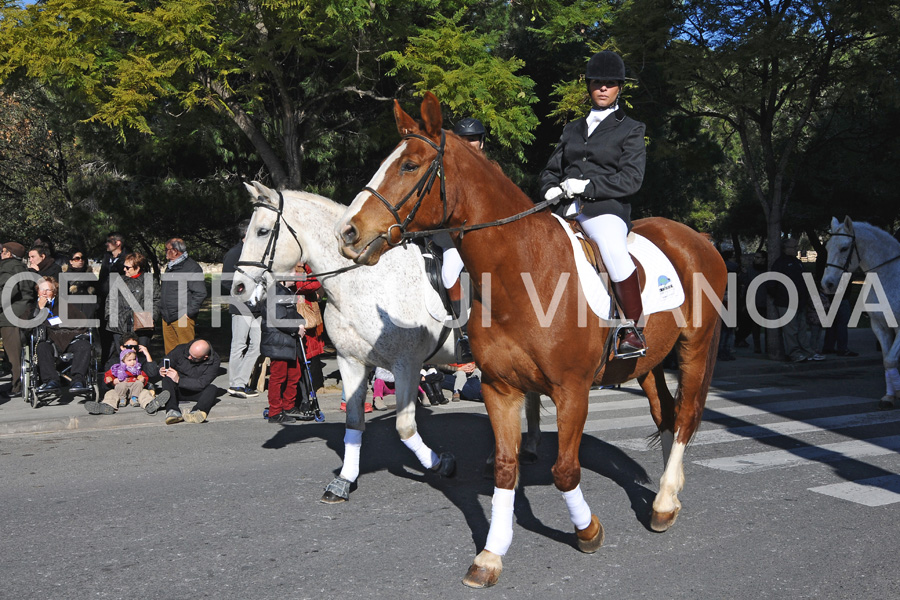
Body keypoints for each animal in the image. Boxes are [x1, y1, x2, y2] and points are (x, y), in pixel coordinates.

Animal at [232, 180, 540, 500]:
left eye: (262, 231)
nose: (238, 287)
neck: (366, 284)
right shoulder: (351, 362)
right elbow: (354, 421)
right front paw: (344, 480)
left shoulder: (407, 365)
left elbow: (405, 427)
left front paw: (440, 463)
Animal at [336, 92, 724, 584]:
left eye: (409, 165)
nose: (347, 234)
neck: (523, 272)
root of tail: (697, 237)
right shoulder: (500, 388)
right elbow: (506, 468)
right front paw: (491, 554)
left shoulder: (572, 390)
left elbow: (564, 470)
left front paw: (587, 530)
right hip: (647, 362)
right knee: (665, 415)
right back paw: (663, 491)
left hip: (696, 347)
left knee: (687, 415)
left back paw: (665, 502)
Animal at [824, 218, 900, 410]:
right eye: (827, 248)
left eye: (844, 248)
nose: (827, 284)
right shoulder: (881, 326)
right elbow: (887, 360)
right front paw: (889, 397)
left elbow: (890, 360)